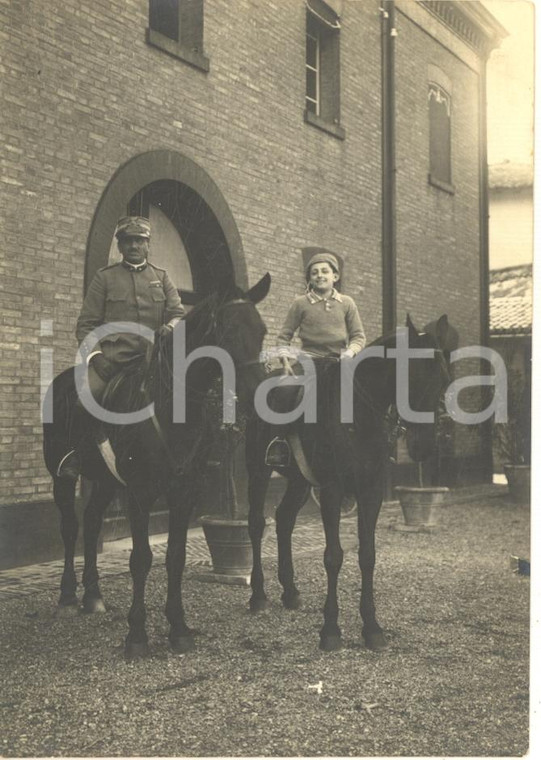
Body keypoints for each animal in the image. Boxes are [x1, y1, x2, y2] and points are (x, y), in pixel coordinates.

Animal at [43, 274, 270, 660]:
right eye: (226, 332)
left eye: (262, 330)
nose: (258, 394)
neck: (173, 407)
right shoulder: (140, 493)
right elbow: (141, 558)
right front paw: (136, 635)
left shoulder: (185, 492)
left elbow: (175, 557)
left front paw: (178, 629)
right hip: (62, 478)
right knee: (71, 528)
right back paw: (69, 597)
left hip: (105, 481)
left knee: (91, 522)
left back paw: (93, 596)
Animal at [247, 314, 450, 652]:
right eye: (410, 376)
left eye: (444, 379)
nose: (423, 447)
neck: (358, 416)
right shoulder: (332, 491)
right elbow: (333, 557)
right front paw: (330, 630)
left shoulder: (370, 493)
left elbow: (367, 556)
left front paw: (372, 628)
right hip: (257, 471)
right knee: (256, 524)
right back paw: (258, 596)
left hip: (300, 482)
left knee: (284, 520)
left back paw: (290, 592)